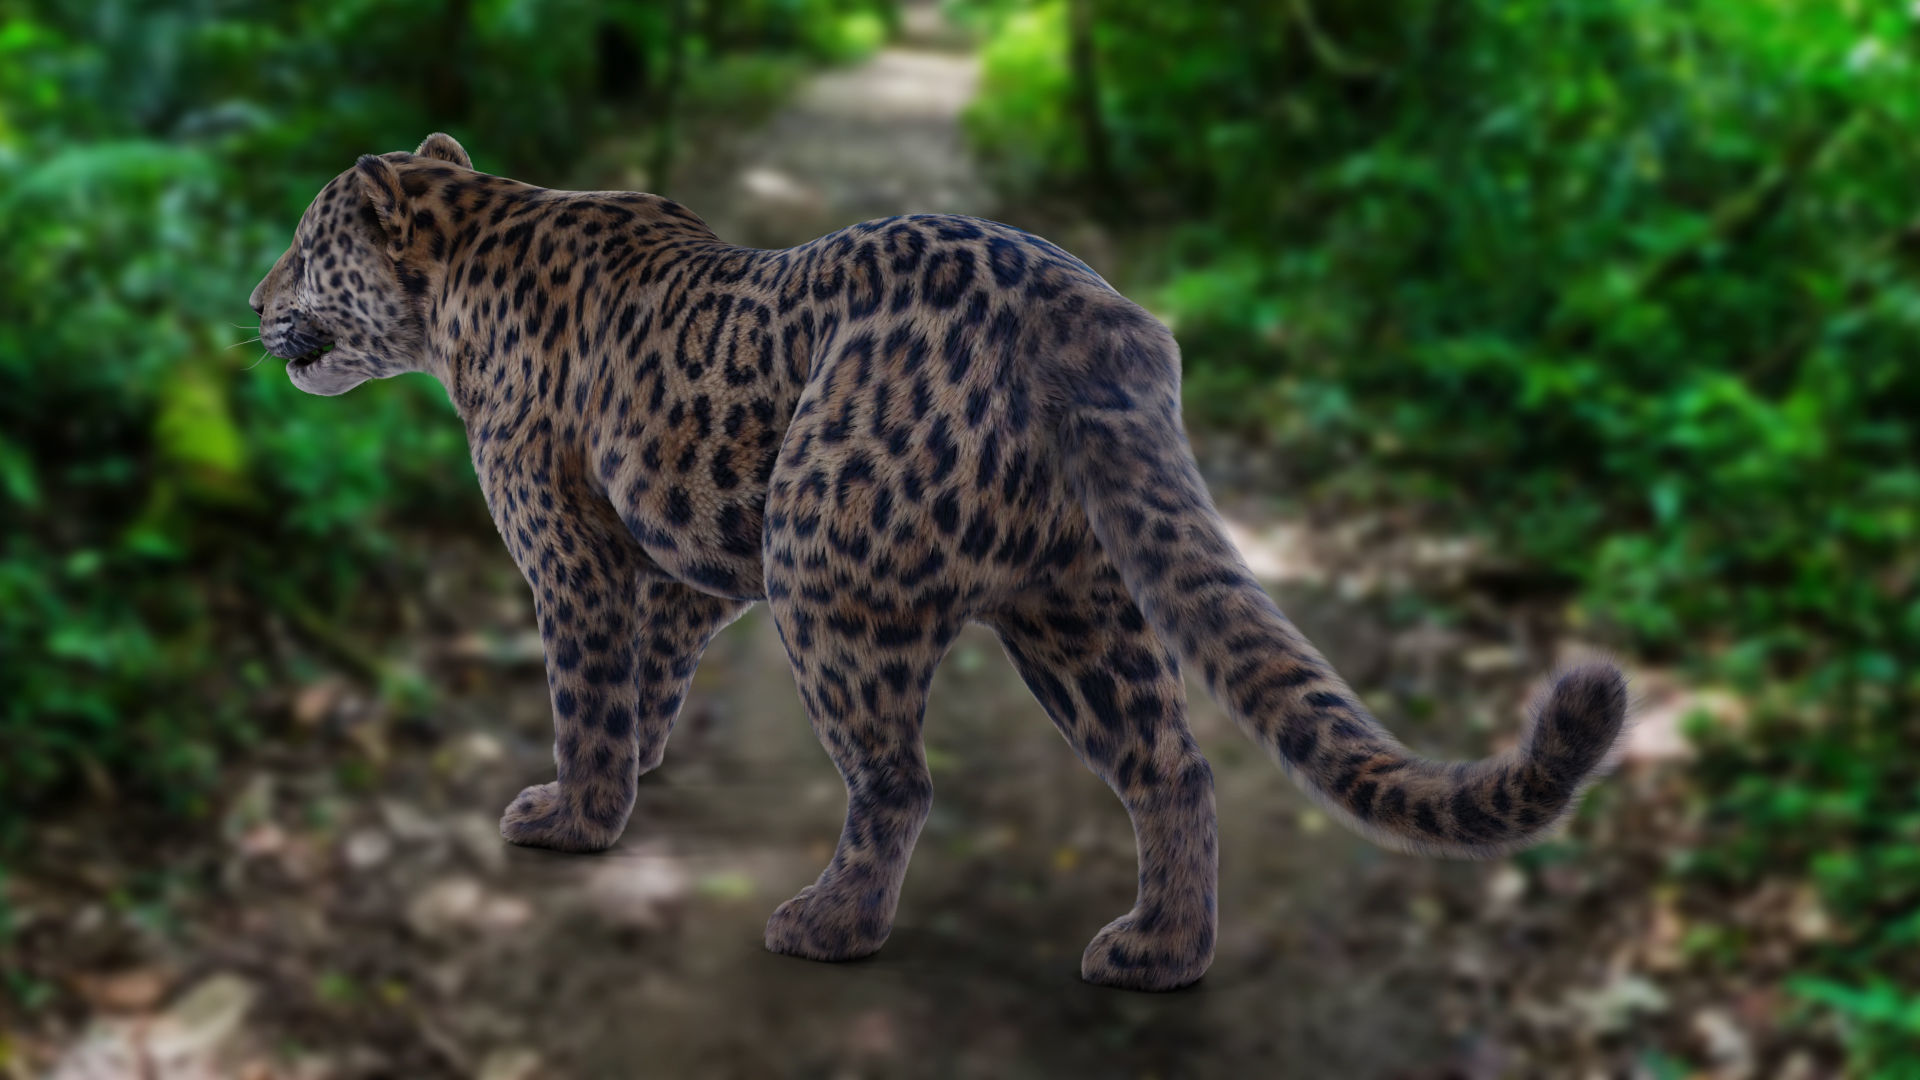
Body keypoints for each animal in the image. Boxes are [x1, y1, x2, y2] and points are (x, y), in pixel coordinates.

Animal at [249, 133, 1630, 991]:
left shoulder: (576, 543)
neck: (461, 266)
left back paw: (829, 925)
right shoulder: (691, 566)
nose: (253, 299)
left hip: (825, 565)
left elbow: (588, 683)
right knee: (1171, 766)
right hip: (1077, 601)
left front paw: (578, 816)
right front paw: (638, 766)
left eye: (306, 248)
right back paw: (1160, 952)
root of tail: (1086, 315)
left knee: (899, 781)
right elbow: (650, 671)